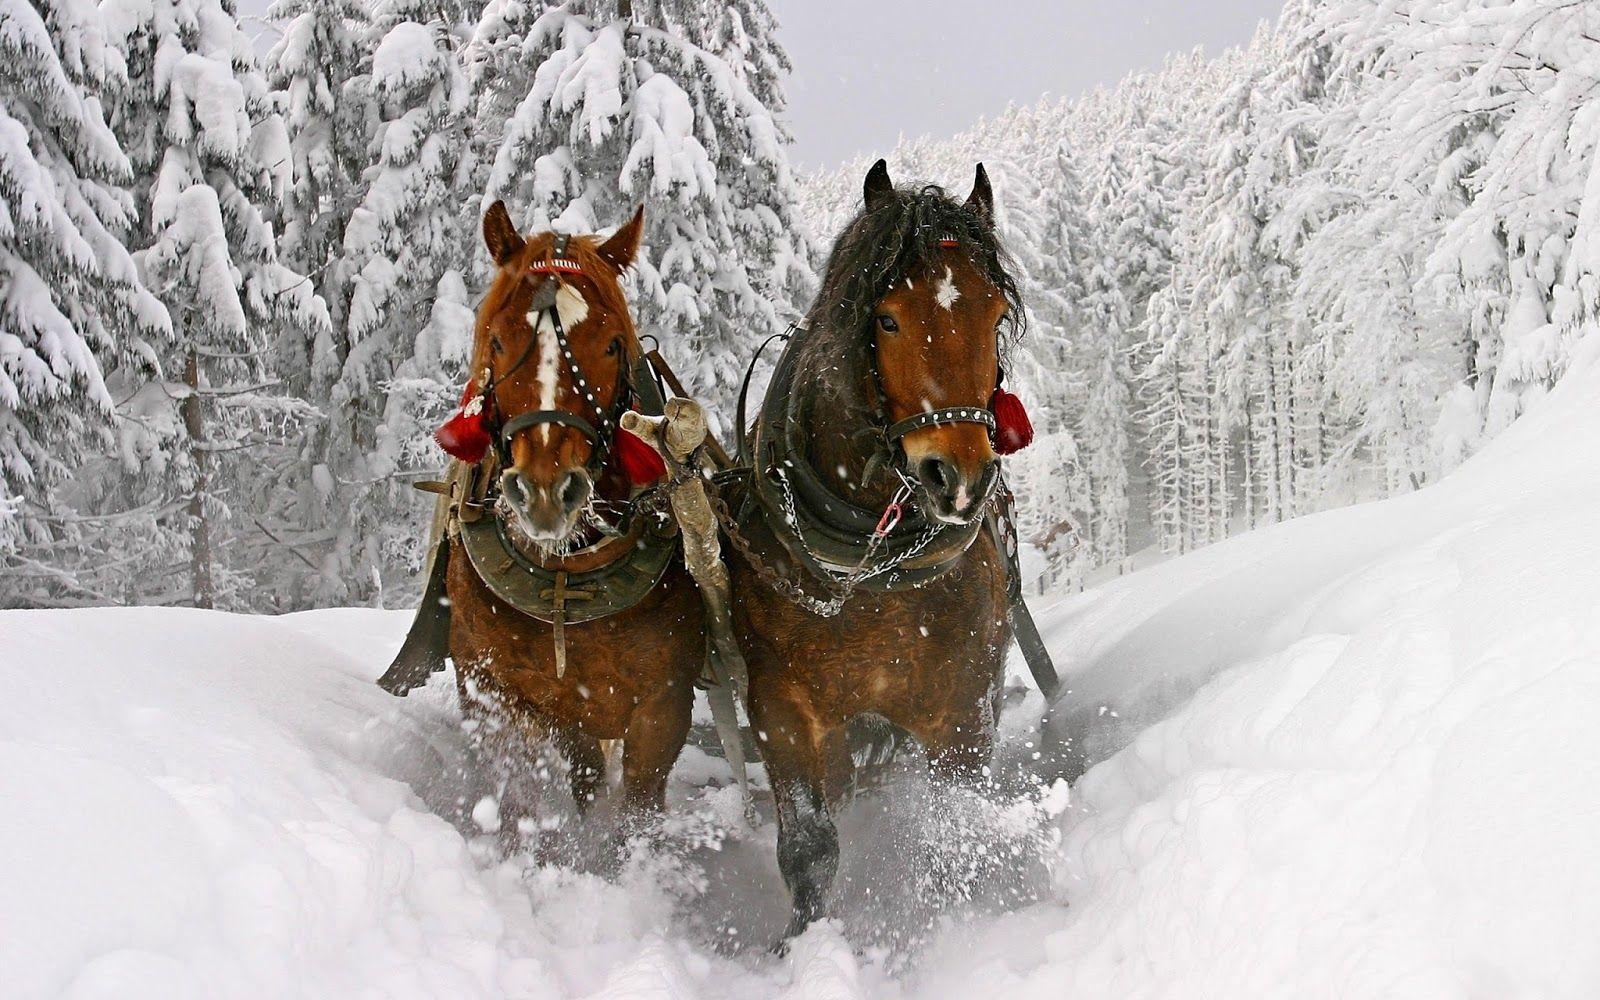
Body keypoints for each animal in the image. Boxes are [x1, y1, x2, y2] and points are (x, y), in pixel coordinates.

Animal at [381, 202, 706, 850]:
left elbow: (637, 814)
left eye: (612, 345)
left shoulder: (662, 706)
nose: (547, 493)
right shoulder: (495, 693)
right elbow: (518, 800)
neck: (567, 577)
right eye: (498, 339)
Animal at [722, 160, 1036, 941]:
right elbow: (809, 849)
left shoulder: (962, 709)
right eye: (887, 318)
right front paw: (802, 946)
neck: (870, 573)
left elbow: (953, 831)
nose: (958, 478)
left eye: (994, 315)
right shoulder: (782, 711)